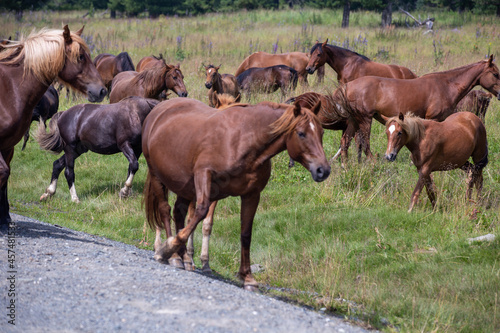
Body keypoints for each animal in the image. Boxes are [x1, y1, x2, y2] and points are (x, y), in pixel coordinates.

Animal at [0, 24, 105, 224]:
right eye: (81, 56)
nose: (102, 90)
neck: (10, 89)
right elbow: (3, 172)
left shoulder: (8, 145)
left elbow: (5, 176)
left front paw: (5, 218)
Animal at [141, 97, 330, 290]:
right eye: (301, 133)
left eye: (321, 132)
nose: (323, 170)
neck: (244, 140)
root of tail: (159, 109)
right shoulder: (204, 174)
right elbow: (201, 211)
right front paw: (168, 247)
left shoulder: (252, 195)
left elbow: (246, 234)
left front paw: (247, 277)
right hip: (157, 175)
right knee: (165, 210)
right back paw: (171, 255)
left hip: (185, 186)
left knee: (179, 212)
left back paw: (185, 257)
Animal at [332, 56, 500, 165]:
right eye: (495, 74)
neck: (446, 85)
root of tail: (346, 87)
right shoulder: (433, 118)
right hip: (365, 119)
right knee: (364, 142)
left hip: (354, 120)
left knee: (345, 141)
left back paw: (346, 165)